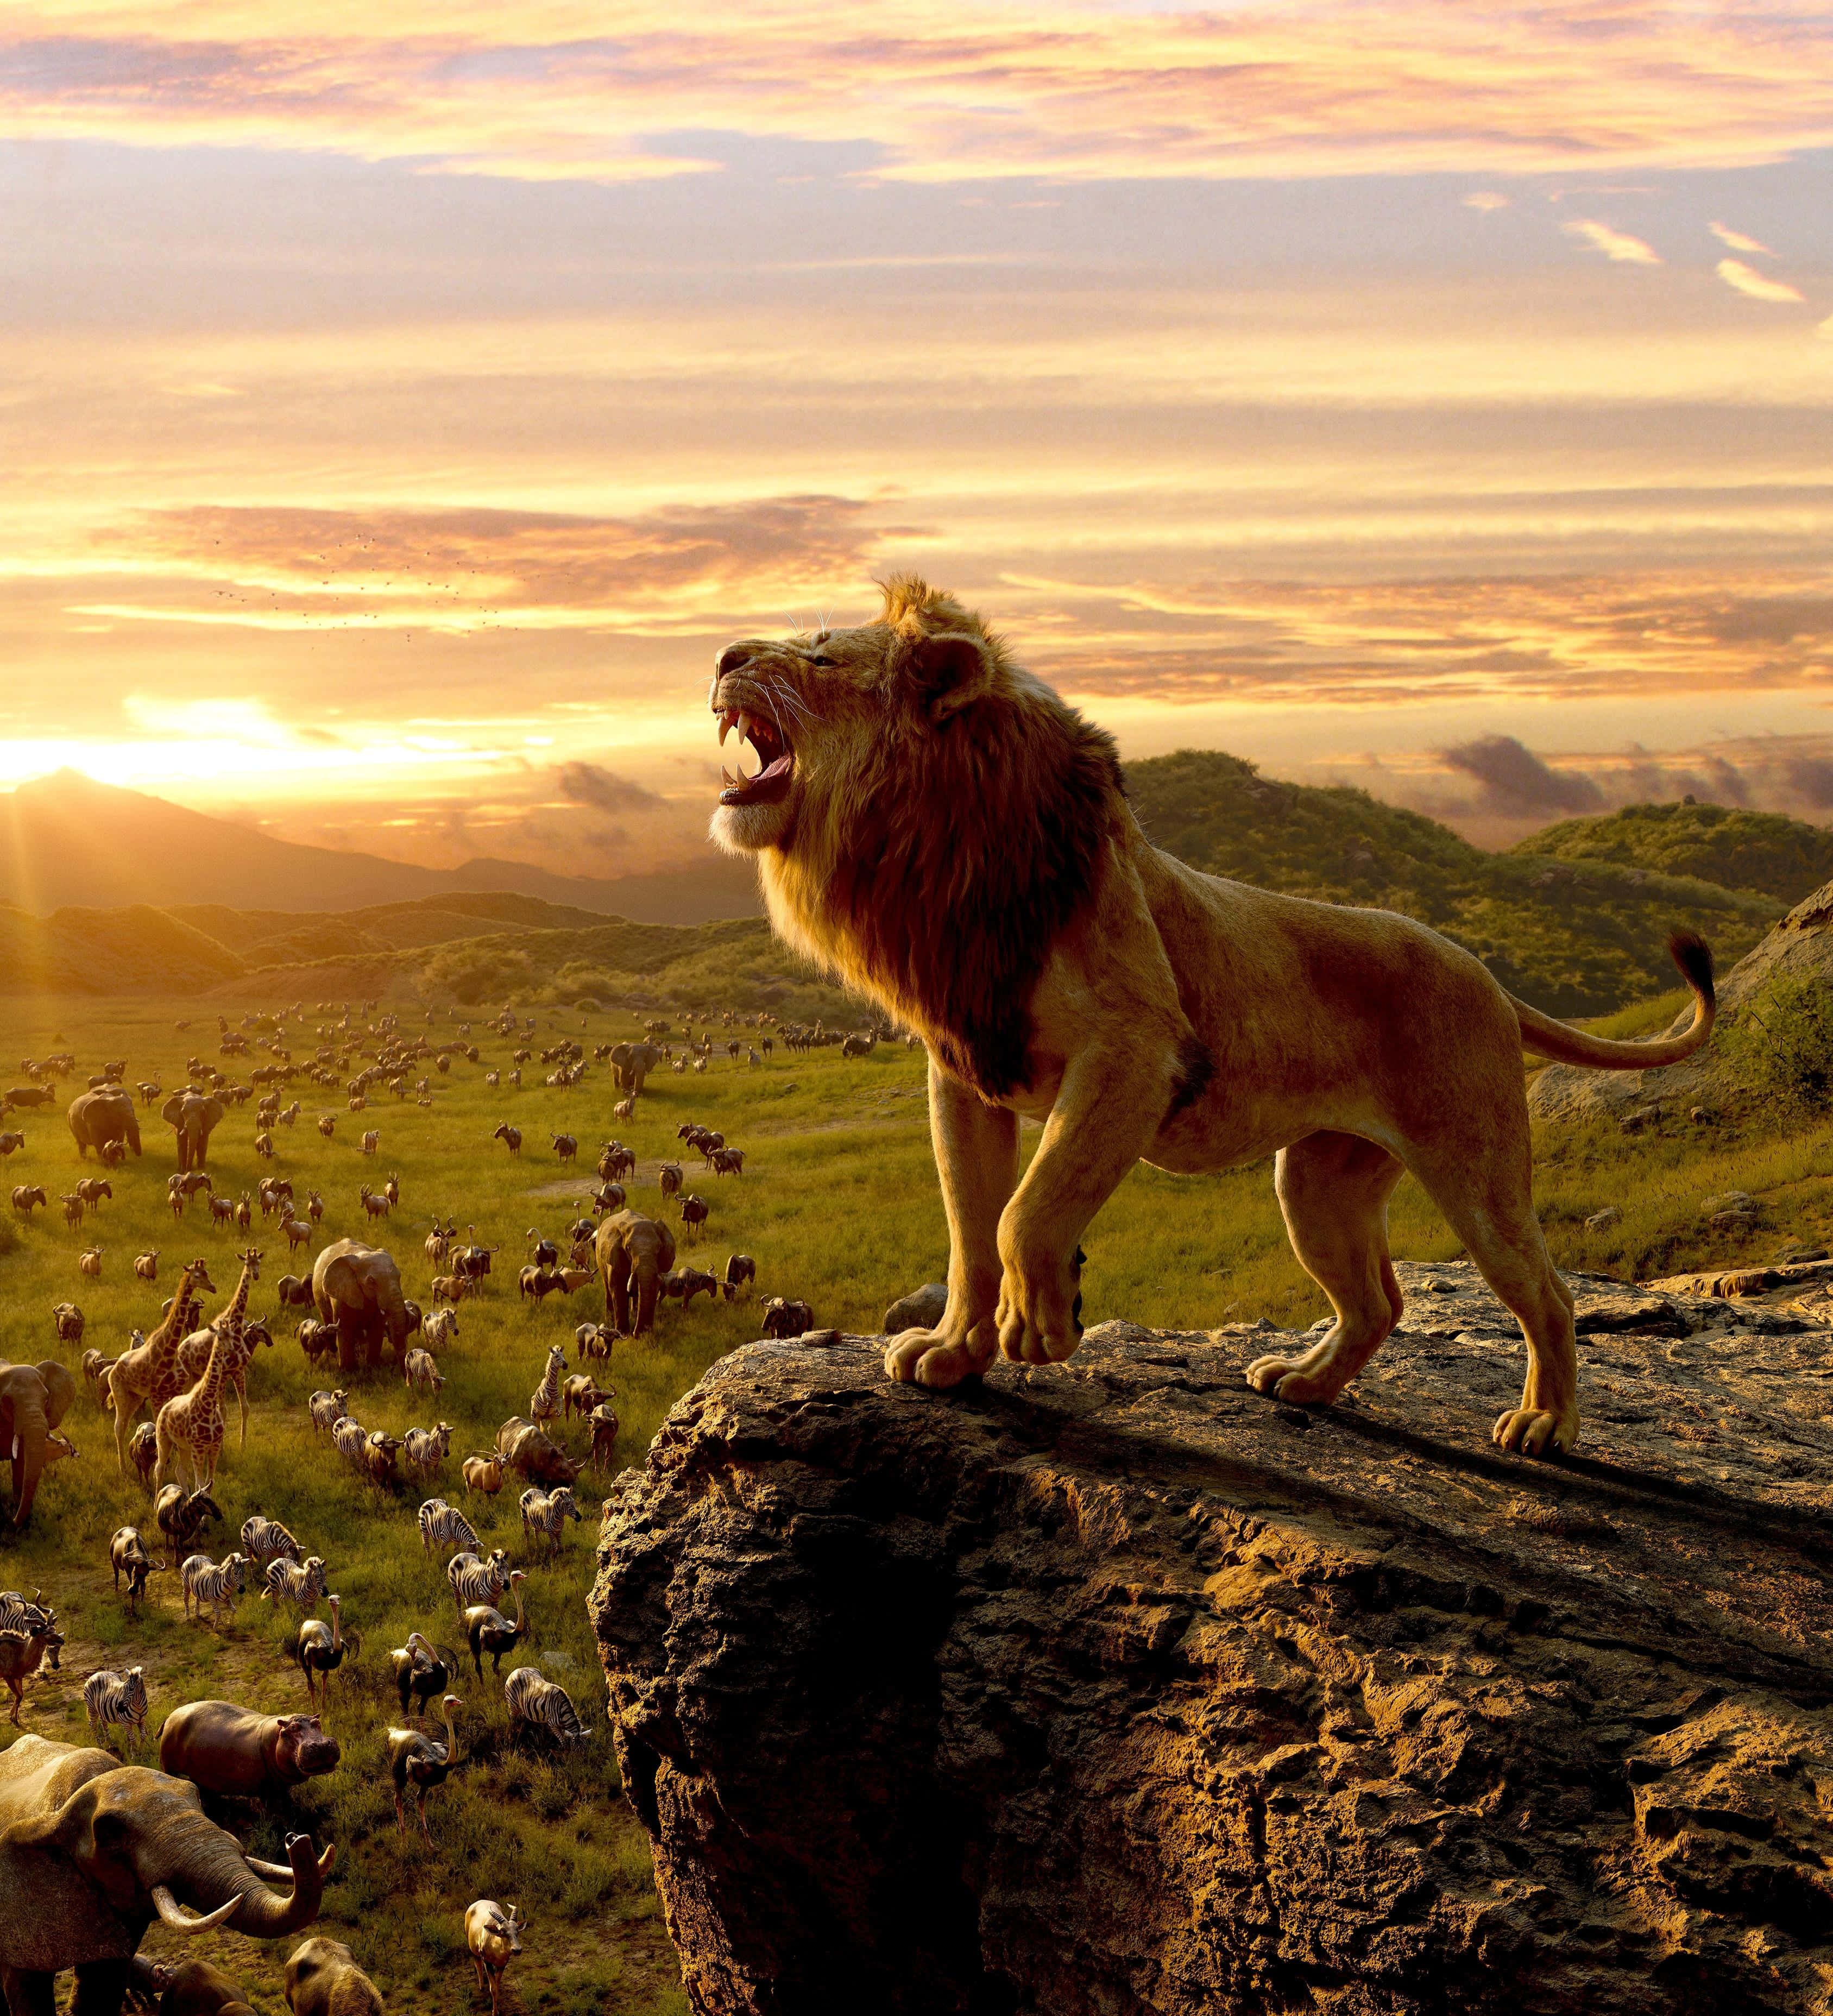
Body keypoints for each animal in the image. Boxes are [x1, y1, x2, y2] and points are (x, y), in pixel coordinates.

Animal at [709, 576, 1715, 1456]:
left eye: (820, 657)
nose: (721, 655)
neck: (934, 858)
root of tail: (1486, 975)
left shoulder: (1136, 1051)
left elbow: (1025, 1212)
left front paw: (1040, 1327)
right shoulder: (964, 1069)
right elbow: (968, 1230)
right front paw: (954, 1354)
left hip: (1474, 1167)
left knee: (1546, 1292)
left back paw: (1544, 1425)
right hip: (1316, 1182)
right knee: (1378, 1301)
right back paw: (1303, 1384)